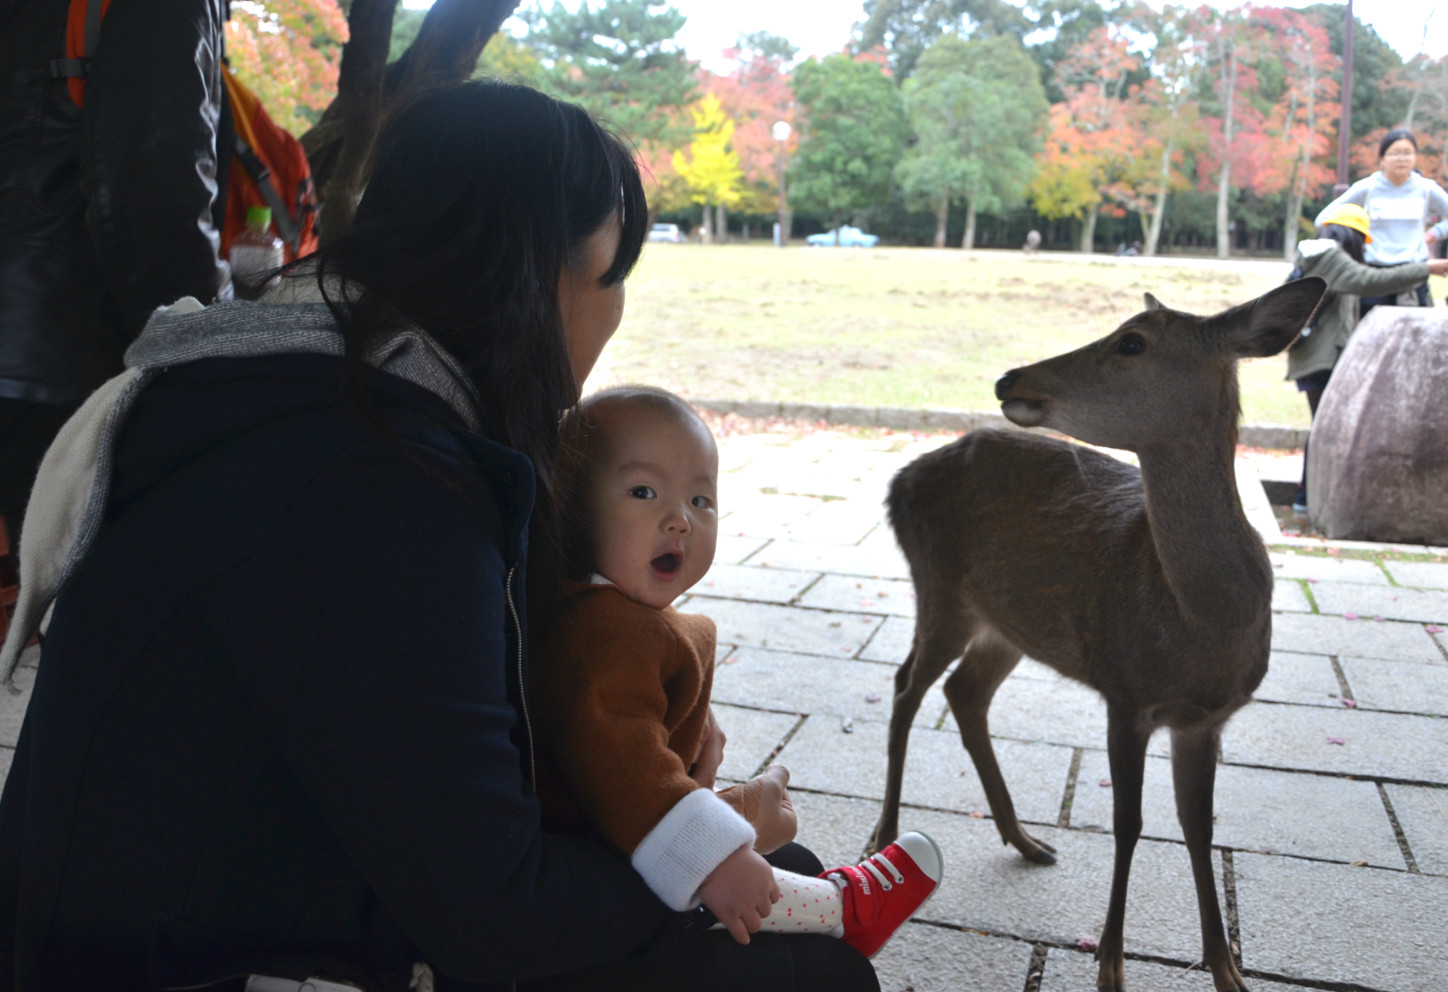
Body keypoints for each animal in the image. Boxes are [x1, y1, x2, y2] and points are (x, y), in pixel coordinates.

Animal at [863, 272, 1326, 990]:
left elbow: (1198, 826)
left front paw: (1227, 970)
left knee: (964, 692)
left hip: (1008, 624)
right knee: (907, 684)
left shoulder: (1205, 719)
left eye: (1132, 341)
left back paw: (1027, 839)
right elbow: (1128, 822)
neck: (1203, 621)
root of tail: (897, 479)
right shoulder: (1125, 691)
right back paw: (885, 833)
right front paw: (1110, 965)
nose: (1008, 377)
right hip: (939, 588)